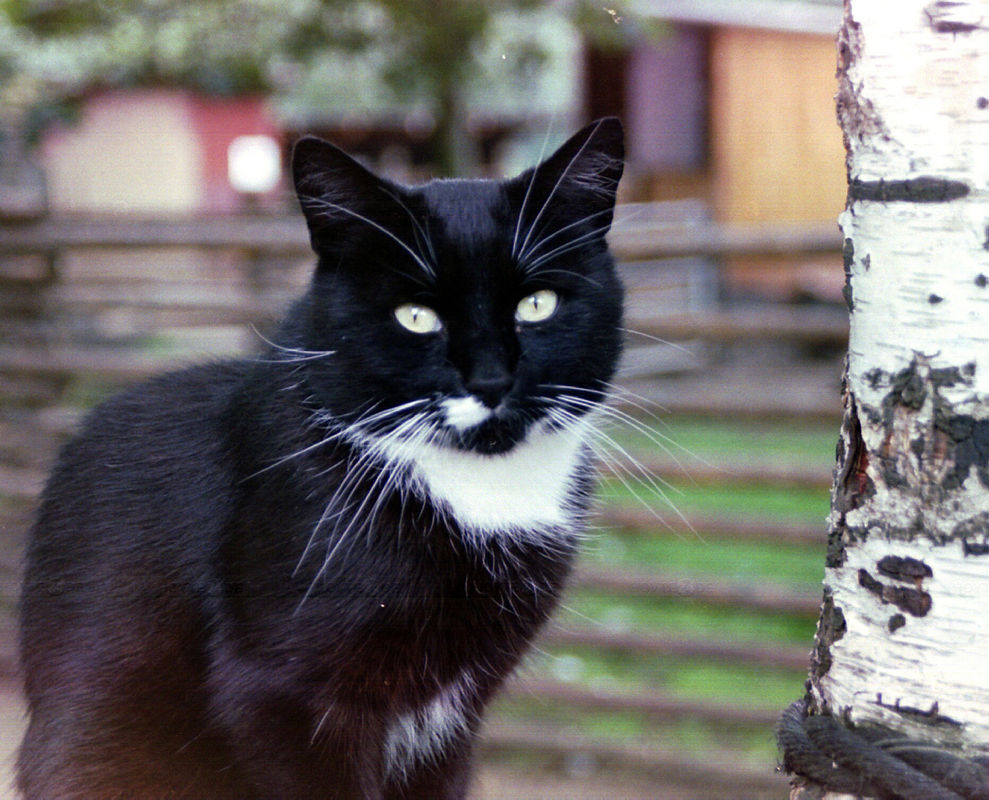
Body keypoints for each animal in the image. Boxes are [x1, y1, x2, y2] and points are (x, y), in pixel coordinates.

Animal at [17, 119, 624, 800]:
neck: (474, 492)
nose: (491, 380)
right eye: (416, 316)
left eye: (537, 304)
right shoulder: (282, 693)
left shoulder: (453, 720)